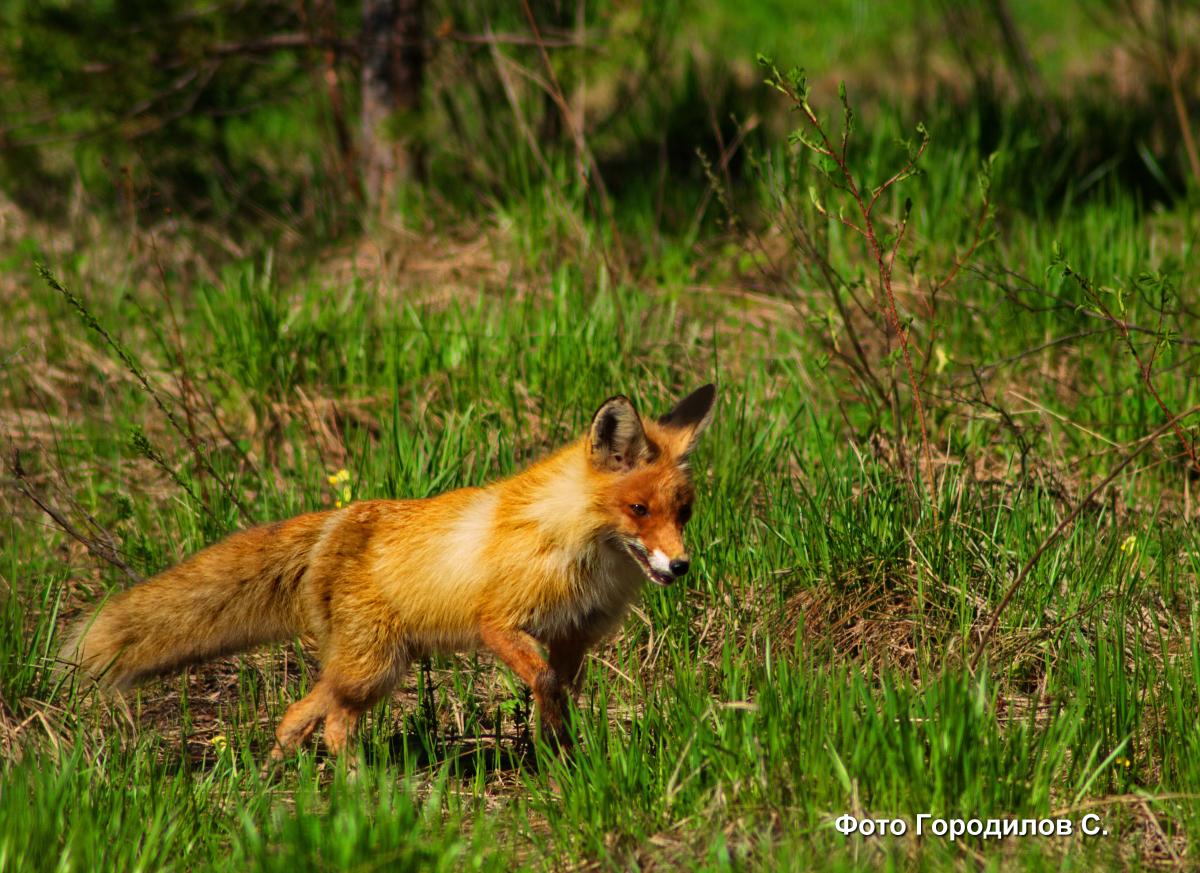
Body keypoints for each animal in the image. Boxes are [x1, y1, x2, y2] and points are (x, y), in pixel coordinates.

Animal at [65, 381, 715, 757]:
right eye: (638, 510)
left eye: (684, 511)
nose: (680, 565)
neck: (577, 545)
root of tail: (337, 521)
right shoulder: (497, 621)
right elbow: (541, 681)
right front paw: (551, 744)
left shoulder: (573, 636)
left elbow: (557, 689)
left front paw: (560, 747)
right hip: (374, 669)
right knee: (328, 723)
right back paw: (359, 790)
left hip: (367, 669)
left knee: (297, 717)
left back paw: (281, 774)